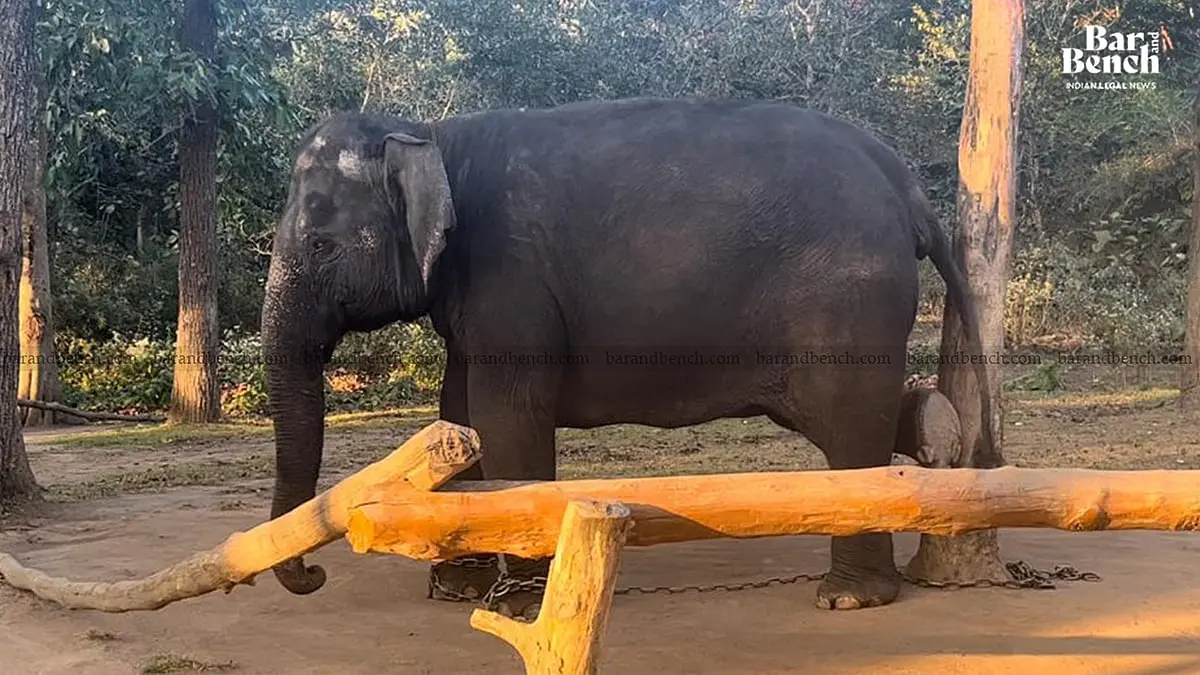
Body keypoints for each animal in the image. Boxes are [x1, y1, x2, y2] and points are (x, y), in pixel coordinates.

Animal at [260, 96, 993, 616]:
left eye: (321, 244)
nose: (313, 573)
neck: (431, 136)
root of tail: (904, 183)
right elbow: (459, 414)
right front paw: (458, 588)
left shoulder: (510, 278)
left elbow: (508, 417)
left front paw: (519, 604)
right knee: (836, 417)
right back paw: (939, 431)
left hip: (844, 297)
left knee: (843, 421)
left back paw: (848, 595)